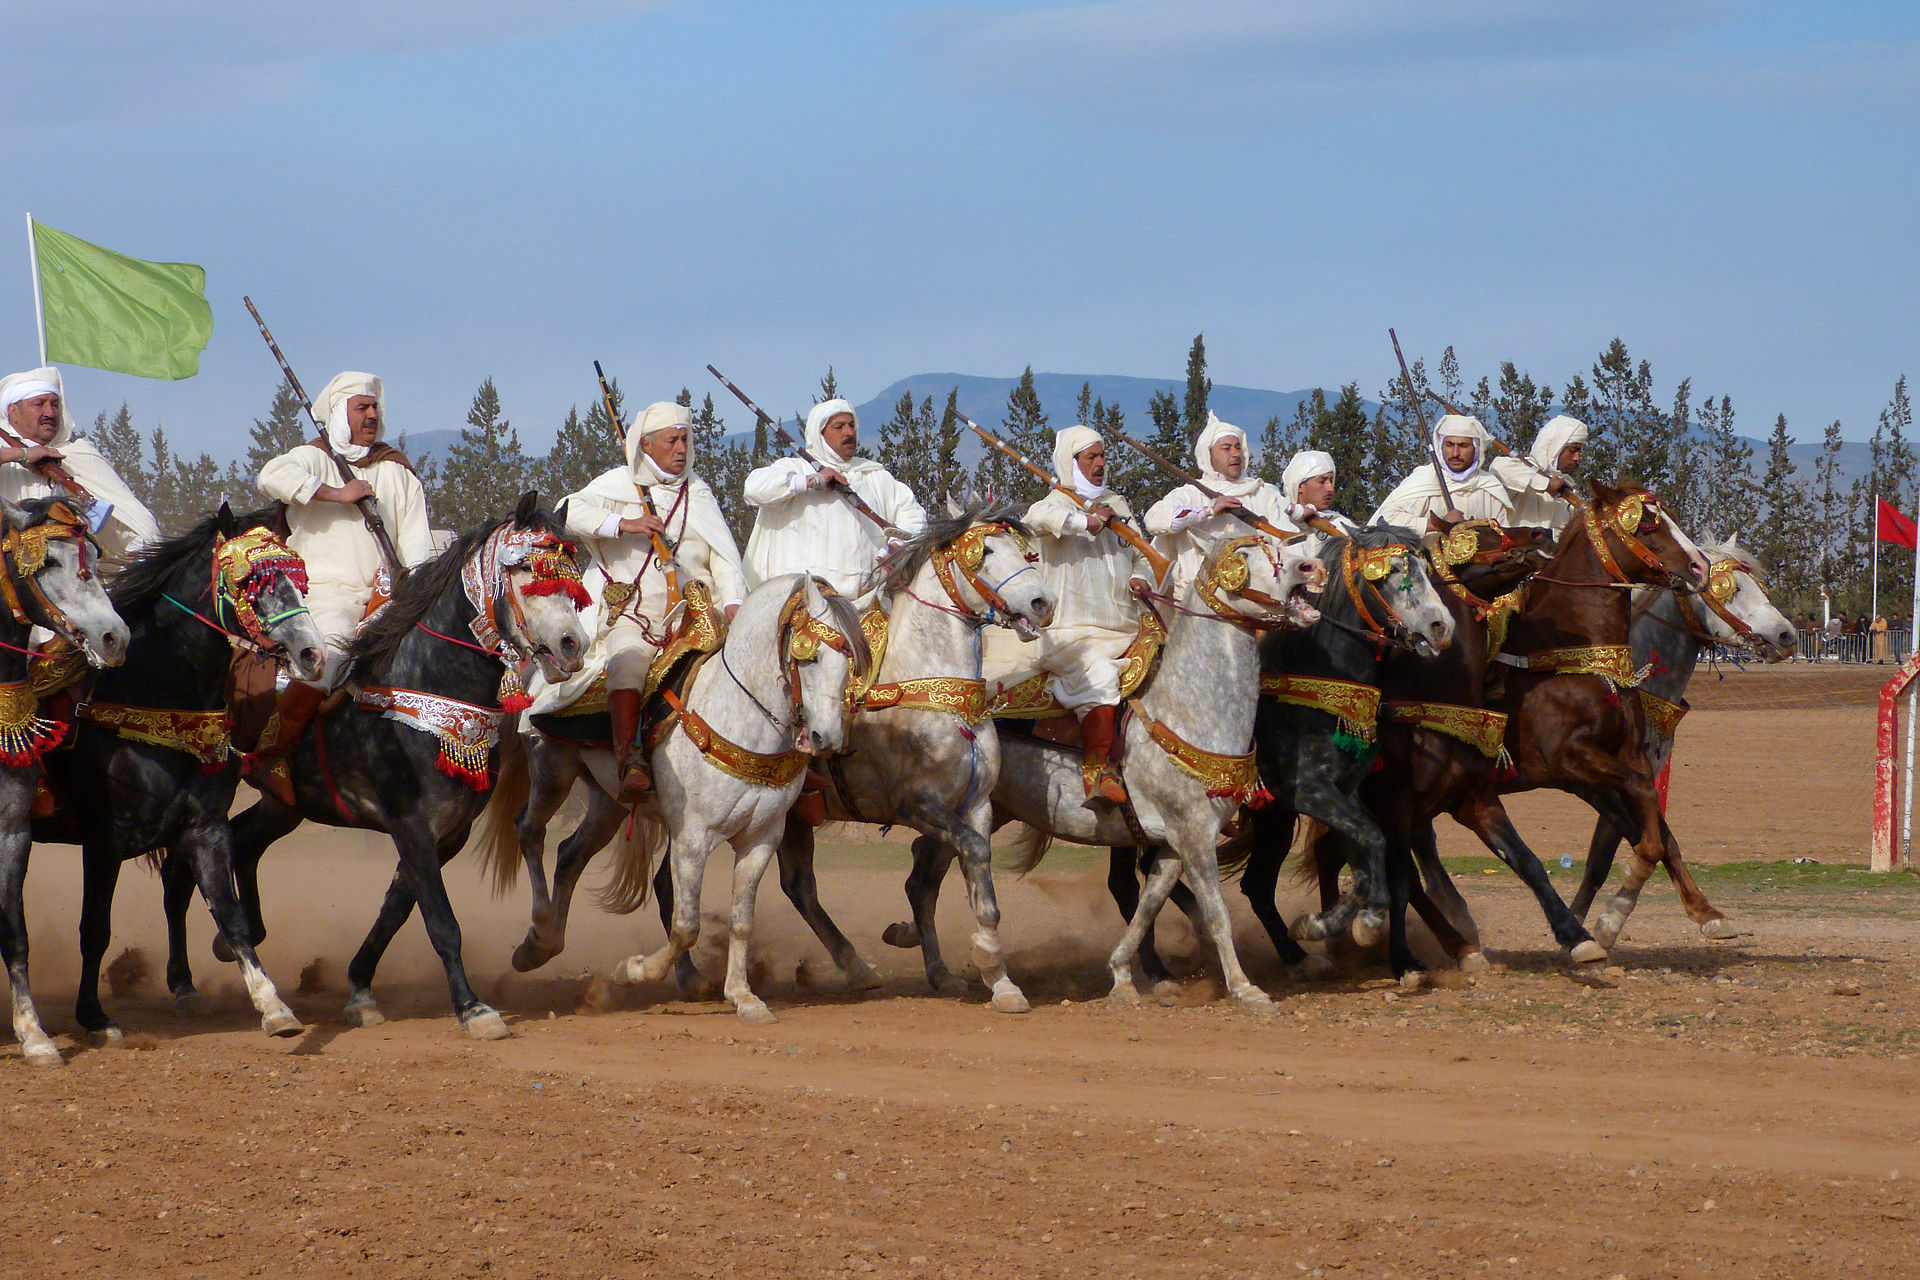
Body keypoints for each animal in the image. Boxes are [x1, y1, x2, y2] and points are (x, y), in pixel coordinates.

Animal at [883, 529, 1336, 1013]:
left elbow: (1148, 906)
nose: (1313, 567)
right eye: (1248, 554)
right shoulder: (1194, 833)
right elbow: (1216, 912)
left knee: (922, 880)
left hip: (975, 811)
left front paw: (1122, 975)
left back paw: (935, 966)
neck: (1185, 709)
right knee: (924, 880)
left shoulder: (1171, 844)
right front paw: (1246, 989)